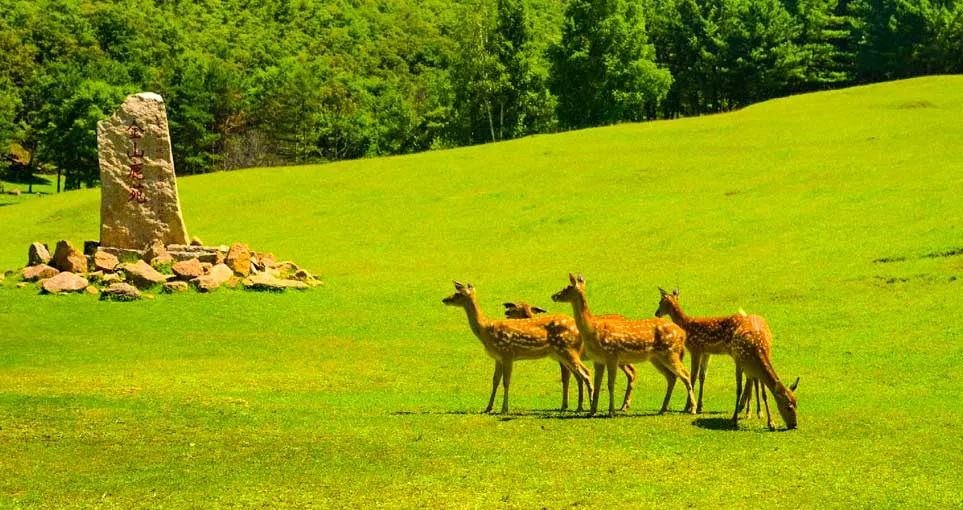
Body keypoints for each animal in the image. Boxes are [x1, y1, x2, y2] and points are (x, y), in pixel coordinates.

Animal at [444, 282, 596, 414]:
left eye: (458, 293)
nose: (444, 299)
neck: (485, 329)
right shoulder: (498, 358)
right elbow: (495, 381)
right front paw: (488, 407)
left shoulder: (507, 353)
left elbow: (506, 381)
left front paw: (504, 409)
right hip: (562, 354)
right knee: (578, 375)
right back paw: (579, 407)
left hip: (567, 350)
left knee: (585, 372)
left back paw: (589, 407)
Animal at [504, 300, 640, 412]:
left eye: (515, 309)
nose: (506, 311)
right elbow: (574, 378)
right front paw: (578, 406)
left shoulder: (564, 359)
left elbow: (566, 379)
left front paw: (565, 406)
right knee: (631, 371)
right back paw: (624, 405)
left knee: (632, 372)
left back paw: (624, 406)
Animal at [548, 274, 692, 418]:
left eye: (567, 287)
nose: (554, 296)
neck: (593, 329)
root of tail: (682, 333)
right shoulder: (598, 360)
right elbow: (598, 383)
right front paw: (592, 411)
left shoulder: (611, 355)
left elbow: (610, 384)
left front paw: (611, 412)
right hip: (656, 358)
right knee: (672, 377)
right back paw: (663, 409)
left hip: (671, 353)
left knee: (685, 374)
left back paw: (692, 409)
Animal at [656, 288, 800, 428]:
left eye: (660, 302)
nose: (656, 313)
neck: (685, 325)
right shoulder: (706, 352)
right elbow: (702, 376)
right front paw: (699, 406)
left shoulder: (695, 348)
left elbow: (693, 376)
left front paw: (689, 407)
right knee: (752, 378)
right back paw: (748, 410)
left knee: (751, 379)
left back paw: (748, 410)